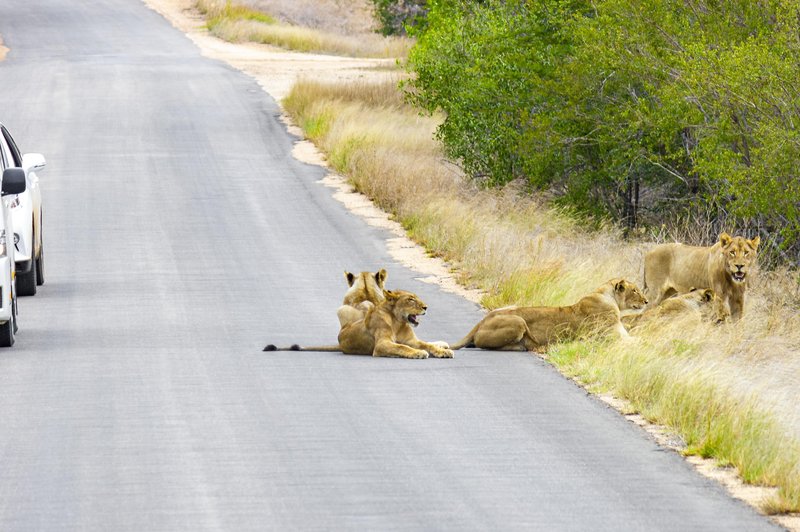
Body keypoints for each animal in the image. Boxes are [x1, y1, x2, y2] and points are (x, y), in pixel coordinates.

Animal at [262, 288, 450, 360]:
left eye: (417, 298)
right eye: (411, 299)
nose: (426, 307)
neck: (398, 321)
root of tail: (339, 341)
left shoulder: (412, 340)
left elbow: (426, 344)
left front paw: (442, 352)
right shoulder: (381, 345)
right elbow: (402, 347)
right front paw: (418, 353)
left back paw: (445, 344)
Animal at [450, 278, 648, 354]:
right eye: (635, 291)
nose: (646, 301)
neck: (606, 295)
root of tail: (481, 321)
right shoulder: (613, 337)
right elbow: (639, 342)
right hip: (518, 321)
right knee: (483, 345)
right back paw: (526, 347)